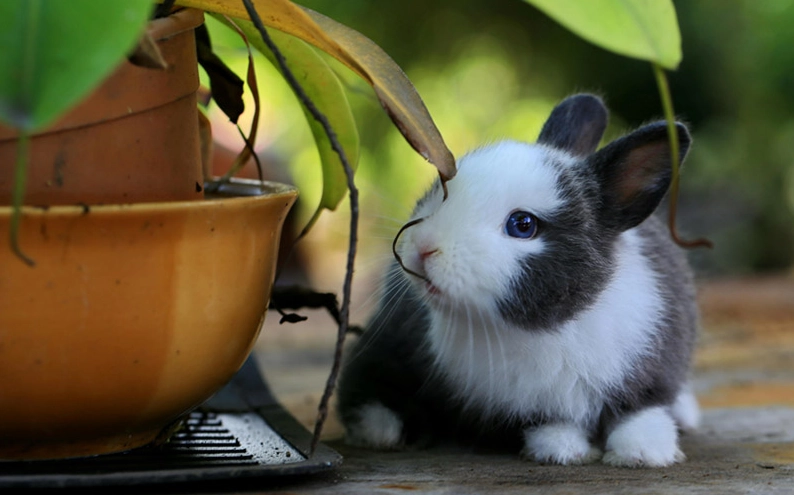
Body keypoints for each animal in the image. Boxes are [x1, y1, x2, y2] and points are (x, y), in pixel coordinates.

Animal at [337, 94, 700, 468]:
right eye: (441, 188)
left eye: (522, 225)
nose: (423, 247)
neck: (546, 329)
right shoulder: (529, 407)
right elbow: (549, 423)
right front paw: (563, 450)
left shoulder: (653, 370)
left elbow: (640, 412)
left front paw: (643, 453)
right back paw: (381, 431)